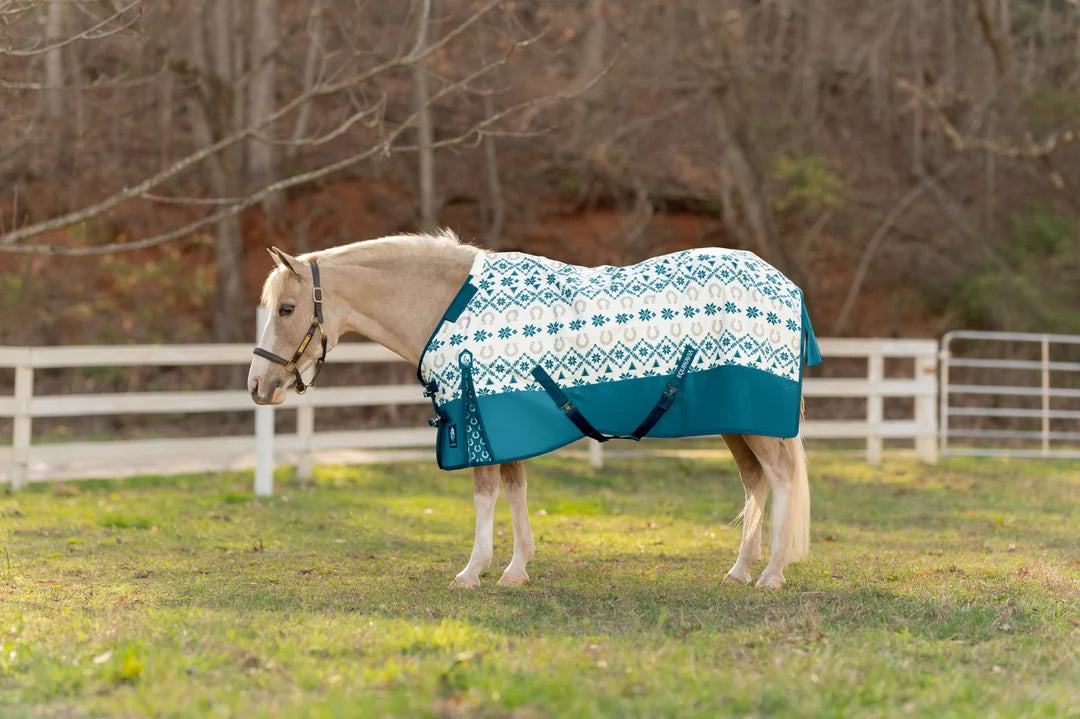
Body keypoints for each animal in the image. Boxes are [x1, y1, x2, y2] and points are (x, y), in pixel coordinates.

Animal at [248, 230, 814, 590]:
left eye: (287, 309)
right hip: (737, 423)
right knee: (755, 483)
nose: (258, 385)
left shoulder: (479, 416)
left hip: (755, 421)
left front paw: (472, 572)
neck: (449, 306)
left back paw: (771, 575)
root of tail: (785, 284)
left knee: (781, 478)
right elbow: (515, 489)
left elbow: (486, 494)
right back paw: (739, 571)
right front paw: (516, 569)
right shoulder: (502, 419)